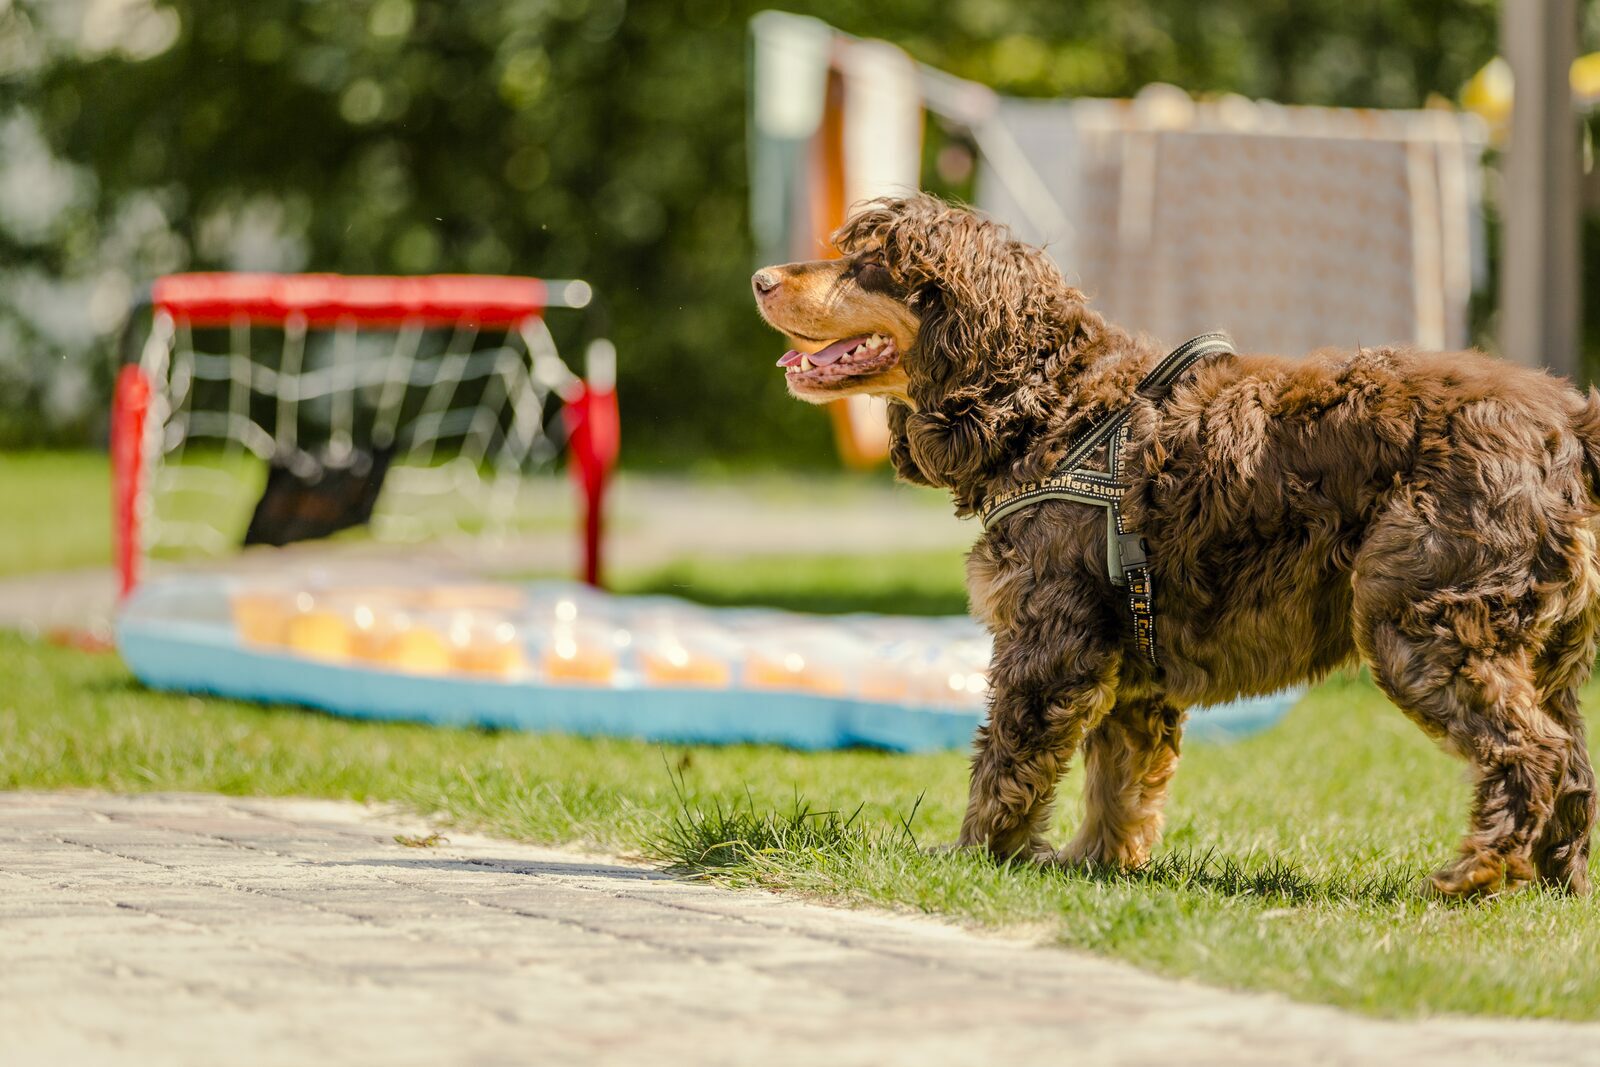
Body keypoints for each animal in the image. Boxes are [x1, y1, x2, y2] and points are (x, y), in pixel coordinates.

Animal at [755, 194, 1600, 902]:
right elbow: (1120, 783)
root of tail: (1569, 426)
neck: (1049, 405)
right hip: (1545, 654)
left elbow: (1006, 764)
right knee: (1575, 766)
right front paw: (1094, 861)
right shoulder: (1134, 670)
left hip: (1422, 623)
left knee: (1531, 753)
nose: (761, 278)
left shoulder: (1048, 644)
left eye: (870, 262)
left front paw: (975, 854)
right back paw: (1554, 884)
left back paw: (1476, 872)